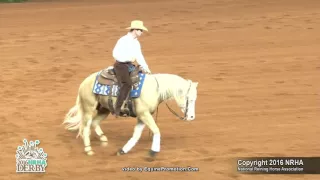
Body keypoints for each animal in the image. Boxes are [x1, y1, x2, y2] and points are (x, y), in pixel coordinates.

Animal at [61, 66, 199, 159]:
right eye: (190, 98)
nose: (192, 117)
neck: (155, 88)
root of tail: (84, 83)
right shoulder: (144, 114)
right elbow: (156, 130)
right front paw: (153, 152)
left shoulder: (142, 116)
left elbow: (136, 135)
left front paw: (122, 150)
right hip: (89, 109)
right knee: (85, 127)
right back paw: (88, 149)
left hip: (105, 109)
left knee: (94, 123)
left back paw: (103, 138)